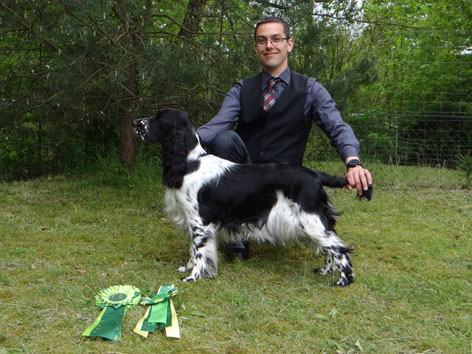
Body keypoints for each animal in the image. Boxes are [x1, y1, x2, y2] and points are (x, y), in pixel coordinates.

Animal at [134, 108, 372, 288]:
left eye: (158, 118)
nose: (135, 121)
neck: (190, 162)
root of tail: (315, 174)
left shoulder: (199, 221)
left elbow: (199, 251)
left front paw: (192, 277)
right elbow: (193, 250)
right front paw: (188, 267)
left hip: (310, 219)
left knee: (340, 249)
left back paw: (343, 281)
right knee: (330, 247)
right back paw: (325, 271)